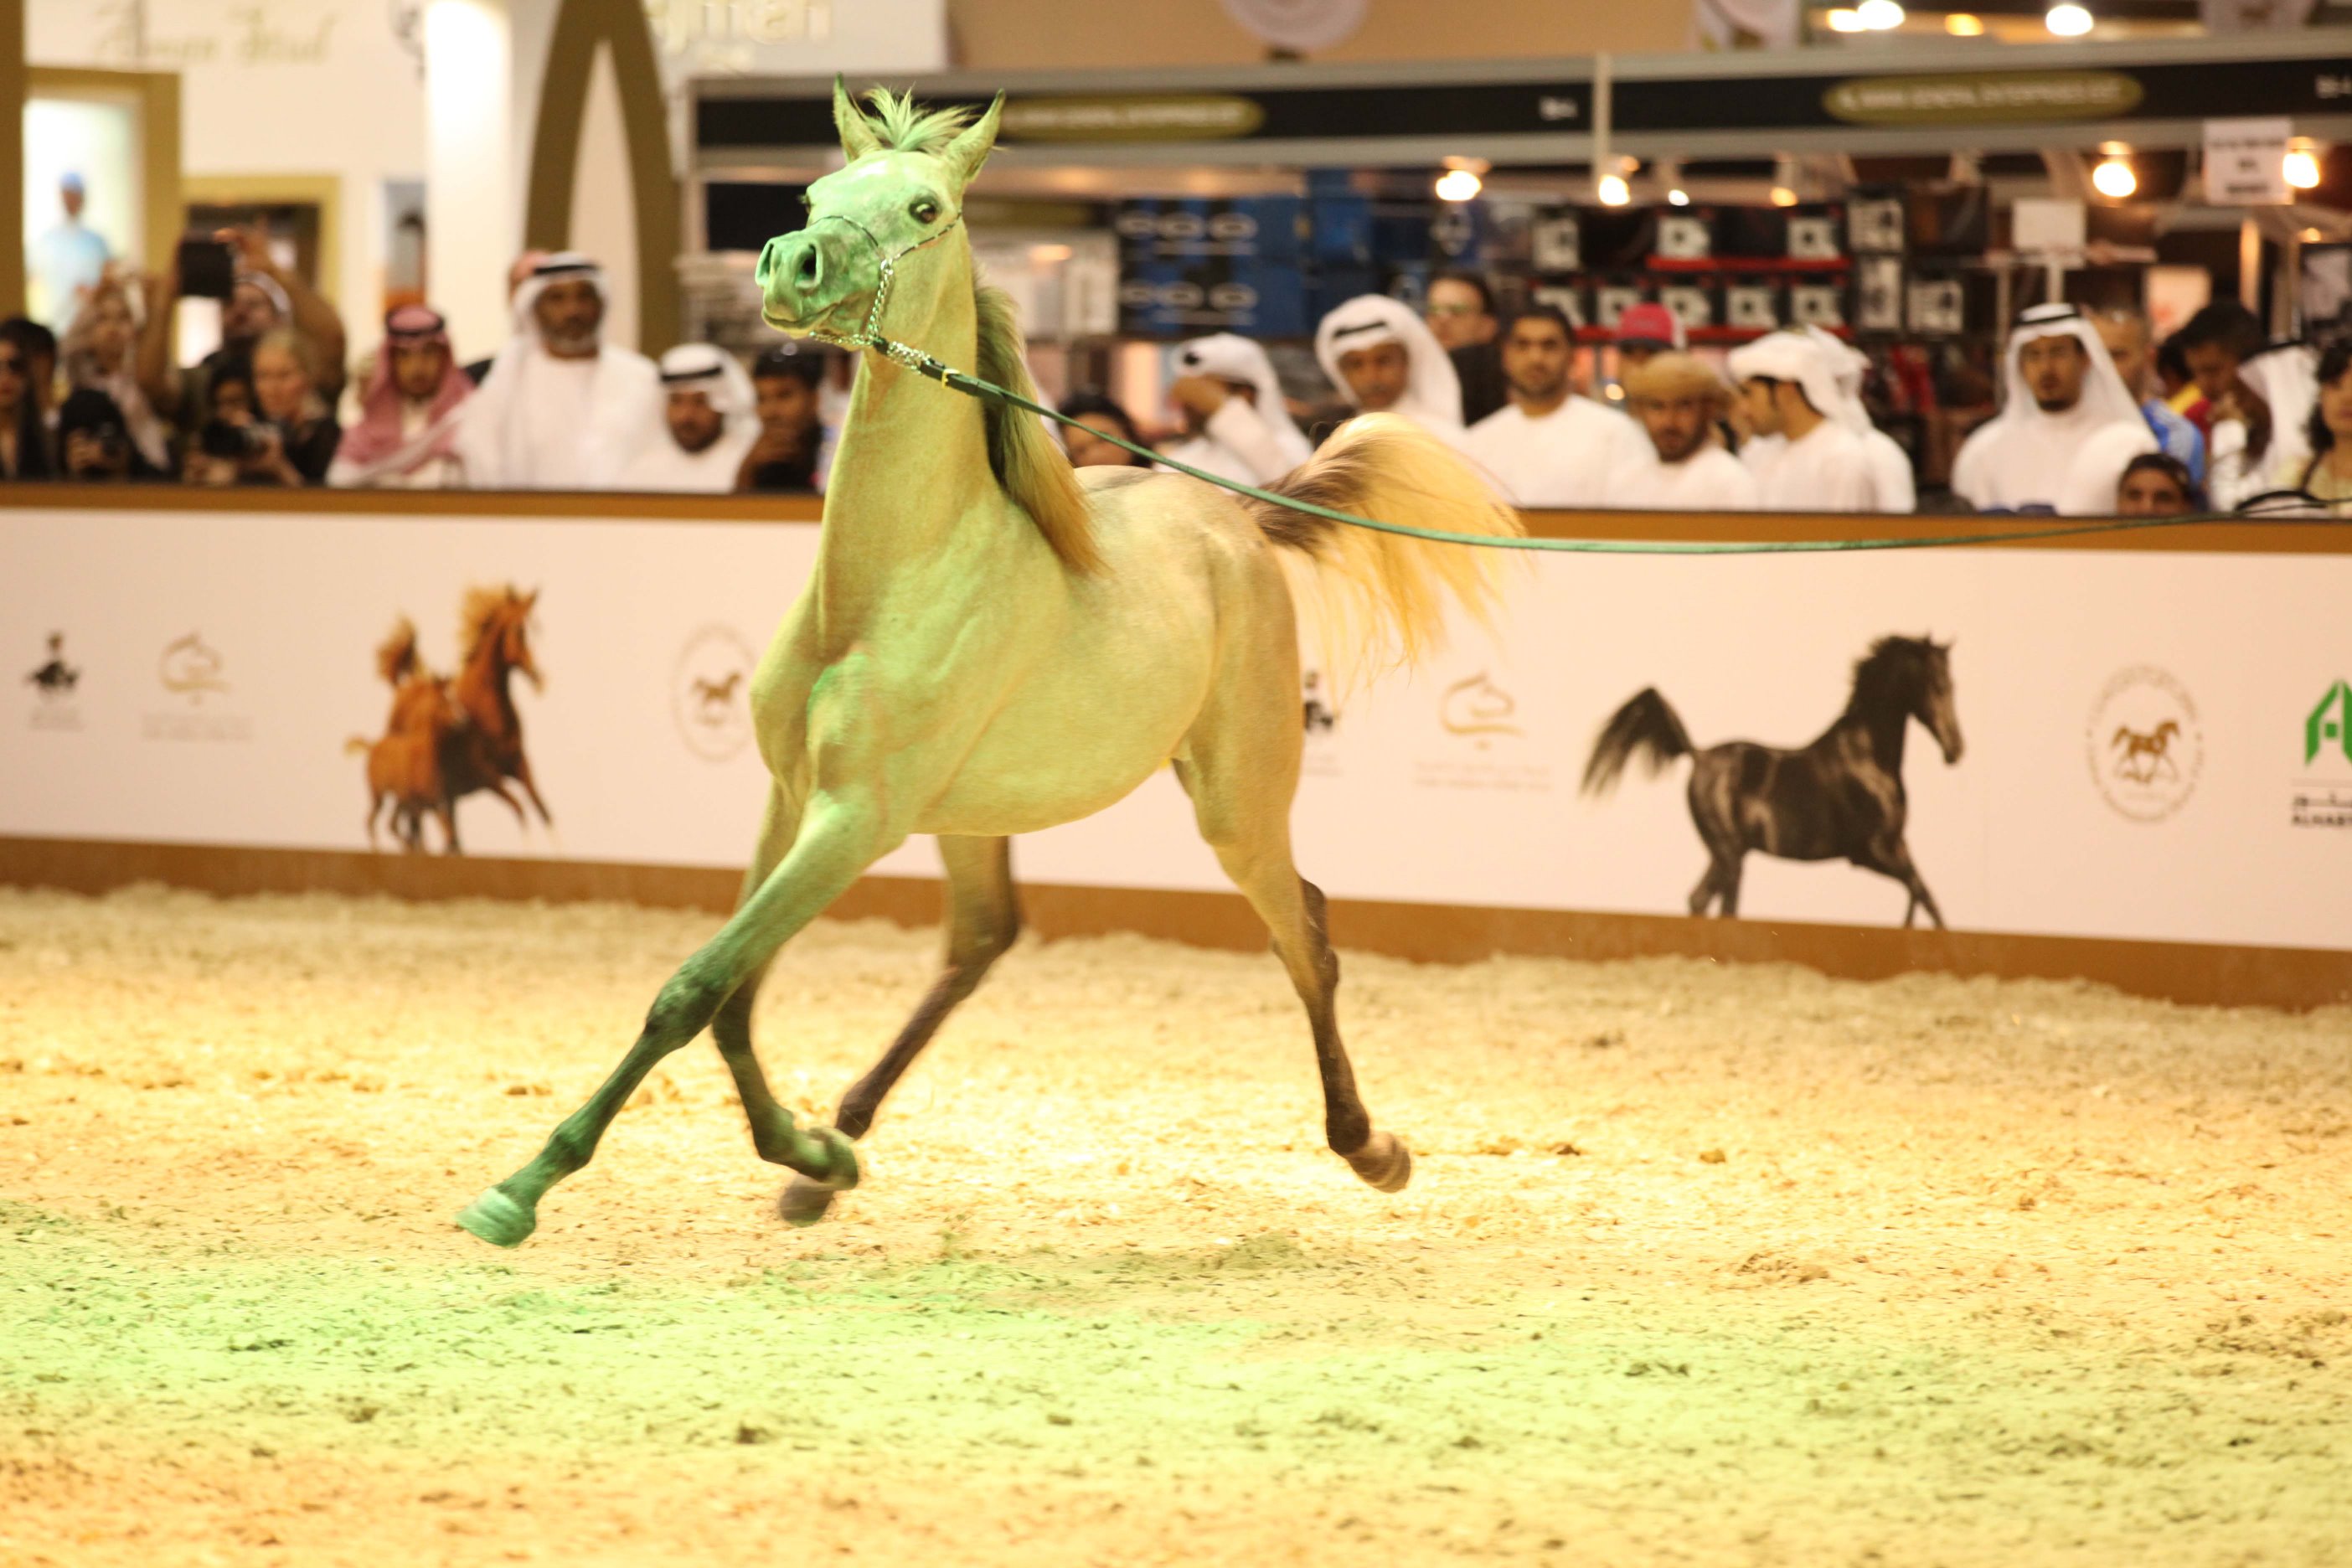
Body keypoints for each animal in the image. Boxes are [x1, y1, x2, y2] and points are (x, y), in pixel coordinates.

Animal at [455, 83, 1523, 1248]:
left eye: (925, 207)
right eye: (818, 193)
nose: (792, 267)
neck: (881, 589)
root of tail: (1234, 520)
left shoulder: (853, 819)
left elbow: (696, 991)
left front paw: (522, 1188)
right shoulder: (791, 799)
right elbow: (735, 999)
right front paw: (806, 1151)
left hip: (1237, 799)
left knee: (1308, 935)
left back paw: (1371, 1147)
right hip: (972, 818)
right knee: (983, 939)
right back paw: (834, 1154)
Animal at [1581, 635, 1962, 929]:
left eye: (1952, 684)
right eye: (1937, 685)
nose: (1956, 749)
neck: (1866, 757)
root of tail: (1699, 755)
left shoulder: (1895, 847)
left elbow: (1919, 893)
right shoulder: (1872, 851)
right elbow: (1924, 894)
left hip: (1725, 853)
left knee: (1700, 900)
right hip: (1729, 854)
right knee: (1724, 908)